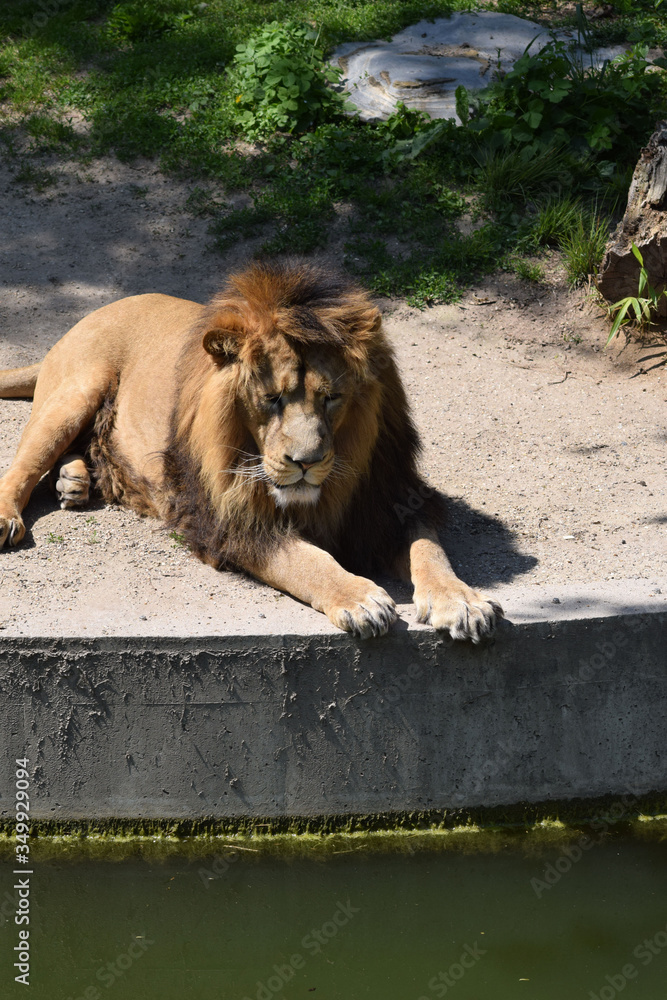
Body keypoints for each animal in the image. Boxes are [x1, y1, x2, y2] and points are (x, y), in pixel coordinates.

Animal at [0, 261, 502, 640]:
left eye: (331, 398)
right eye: (272, 398)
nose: (306, 463)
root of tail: (89, 315)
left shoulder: (390, 497)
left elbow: (428, 548)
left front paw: (461, 601)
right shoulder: (229, 519)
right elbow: (303, 559)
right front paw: (359, 597)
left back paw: (74, 480)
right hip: (75, 393)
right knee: (23, 464)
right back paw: (12, 515)